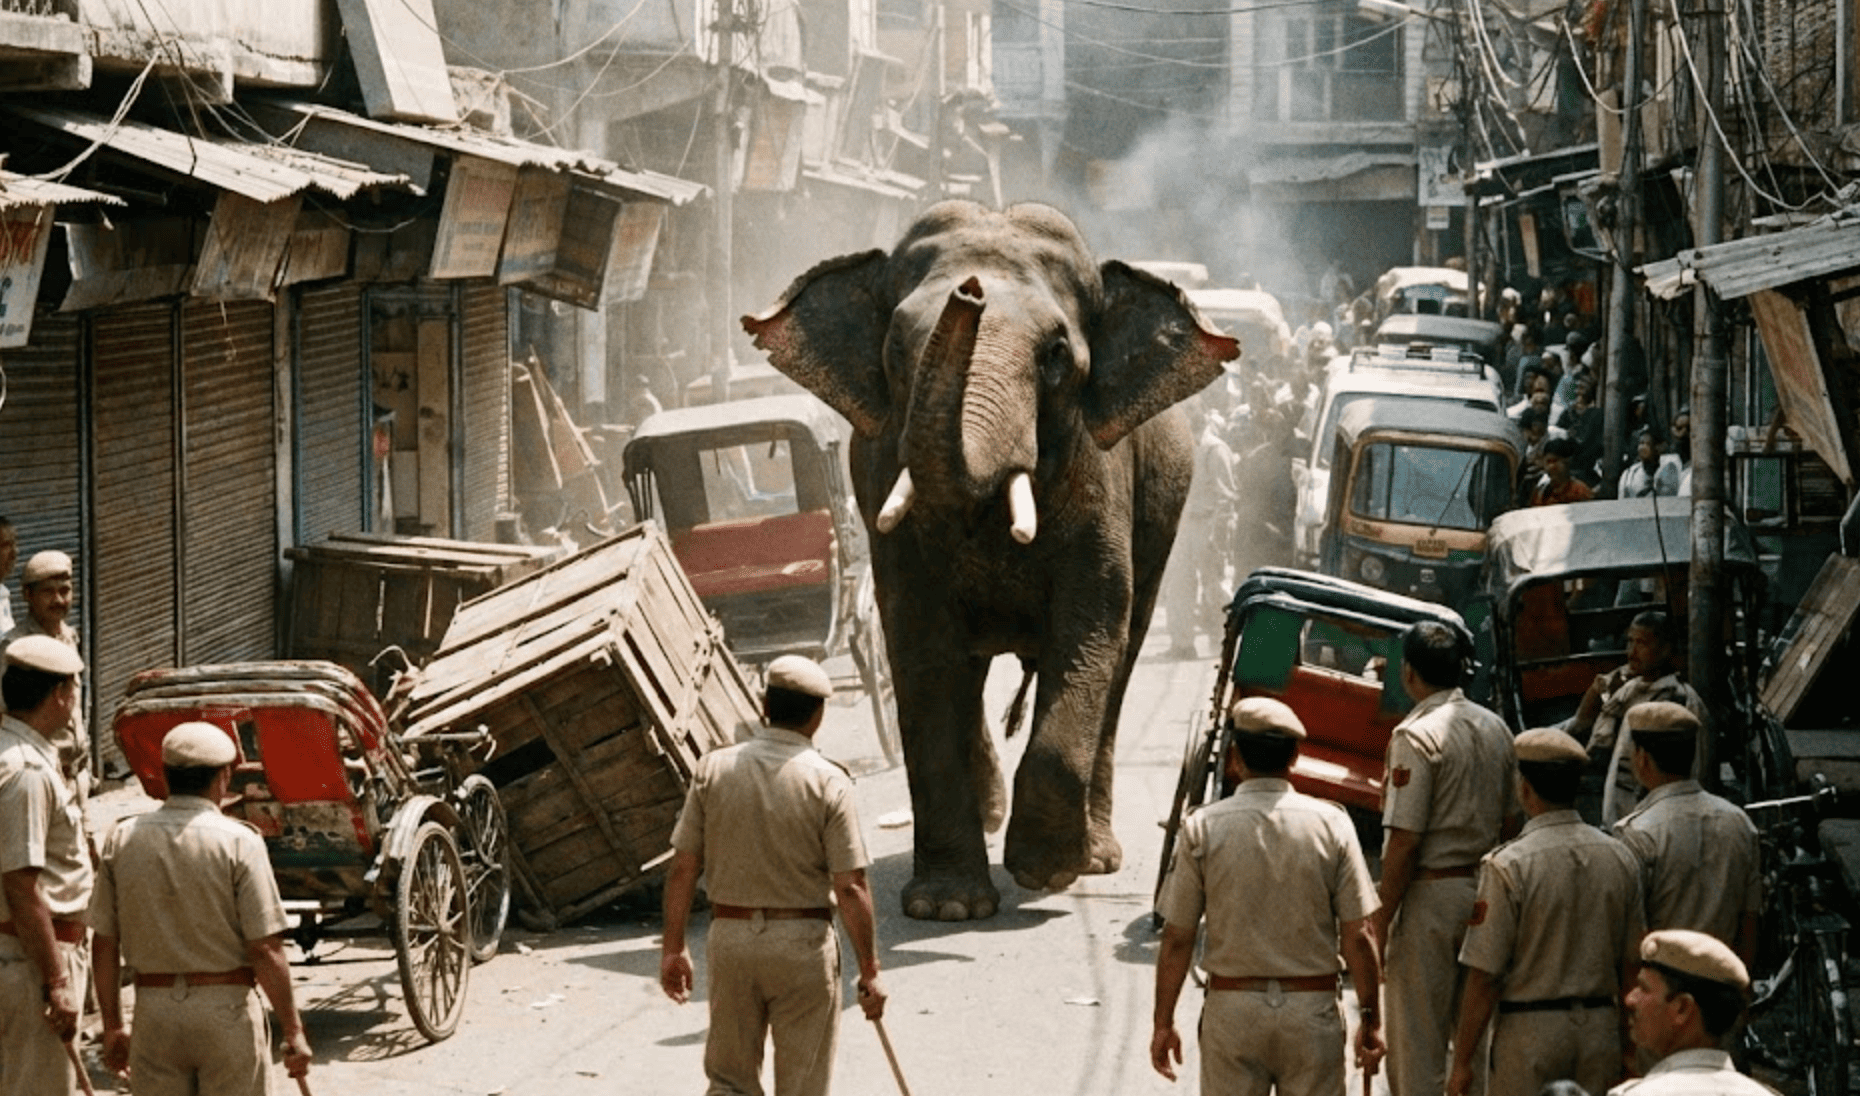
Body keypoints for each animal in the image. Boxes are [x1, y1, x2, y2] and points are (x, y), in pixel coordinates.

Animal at [742, 201, 1239, 921]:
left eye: (1057, 354)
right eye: (896, 350)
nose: (969, 291)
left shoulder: (1101, 476)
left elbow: (1091, 628)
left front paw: (1045, 872)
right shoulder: (883, 484)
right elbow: (919, 643)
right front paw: (946, 909)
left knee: (1124, 656)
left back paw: (1095, 855)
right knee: (966, 670)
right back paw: (989, 820)